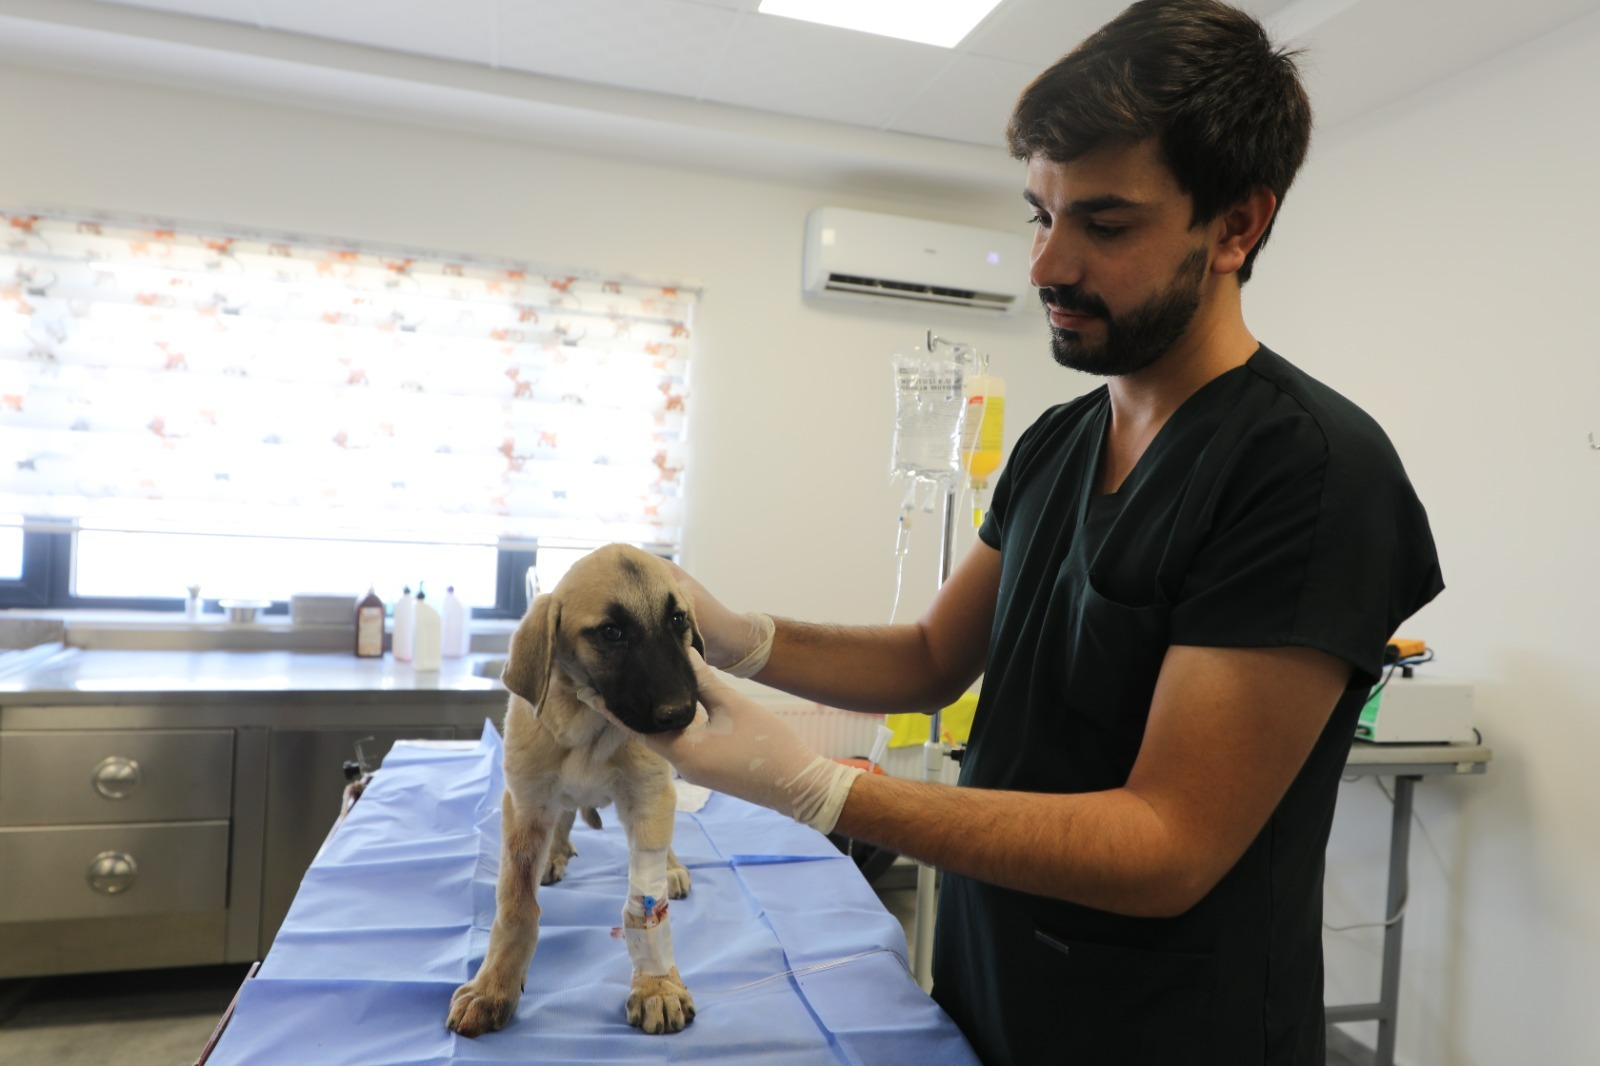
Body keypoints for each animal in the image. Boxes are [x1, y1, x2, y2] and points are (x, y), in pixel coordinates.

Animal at [451, 544, 700, 1030]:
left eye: (678, 620)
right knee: (564, 816)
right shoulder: (526, 803)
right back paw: (555, 853)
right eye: (611, 632)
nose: (681, 714)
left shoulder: (647, 795)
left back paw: (671, 865)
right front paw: (493, 985)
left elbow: (645, 905)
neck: (591, 728)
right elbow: (516, 906)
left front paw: (657, 984)